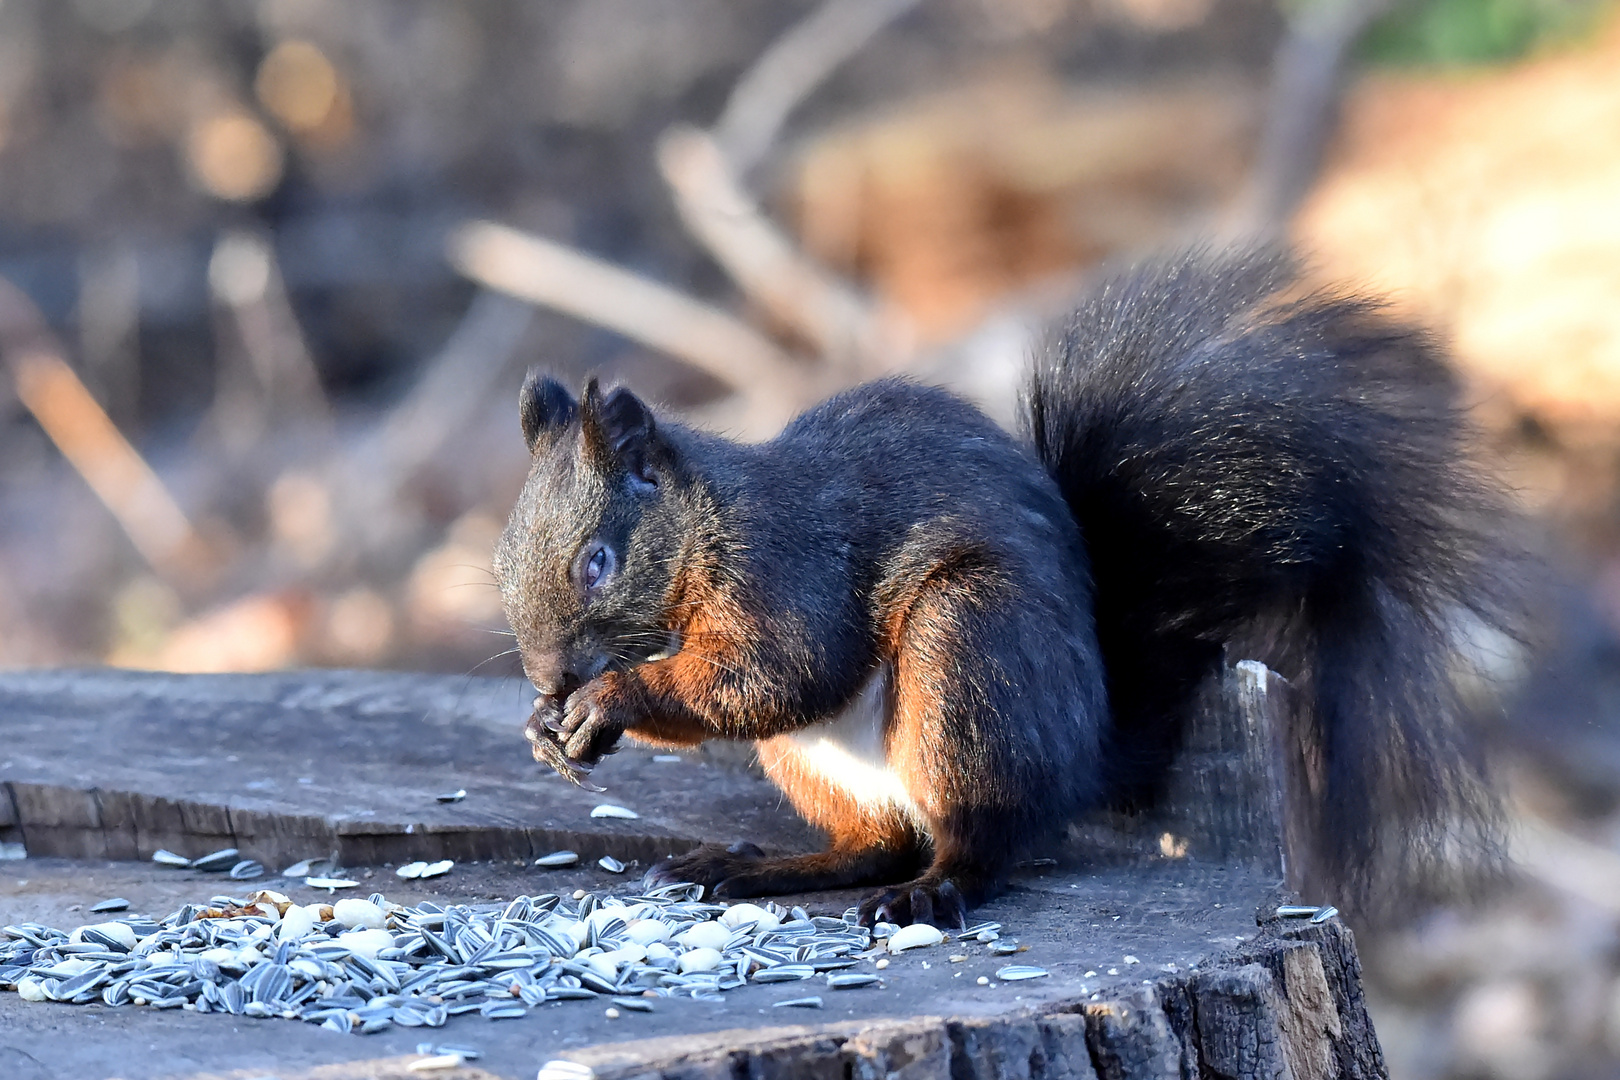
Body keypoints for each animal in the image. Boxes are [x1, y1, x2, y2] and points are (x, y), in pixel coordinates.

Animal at [489, 247, 1503, 932]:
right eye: (499, 561)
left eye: (595, 562)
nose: (546, 676)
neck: (703, 532)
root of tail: (1088, 751)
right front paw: (545, 726)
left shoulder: (786, 567)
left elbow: (777, 673)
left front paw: (610, 698)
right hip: (827, 761)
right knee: (878, 841)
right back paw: (759, 869)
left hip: (969, 658)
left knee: (981, 840)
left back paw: (933, 891)